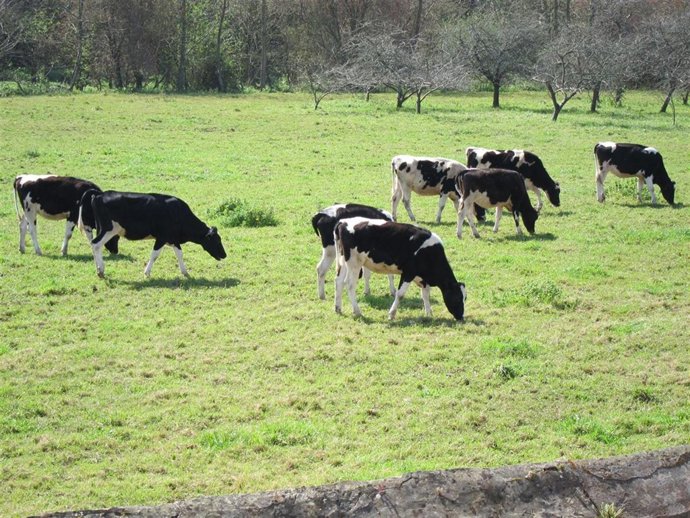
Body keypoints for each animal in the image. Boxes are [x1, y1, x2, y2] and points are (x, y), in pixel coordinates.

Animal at [79, 190, 226, 278]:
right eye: (217, 241)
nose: (225, 255)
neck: (178, 213)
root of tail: (100, 194)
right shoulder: (162, 237)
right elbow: (155, 255)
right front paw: (147, 273)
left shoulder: (173, 238)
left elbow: (179, 254)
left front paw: (185, 272)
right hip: (108, 229)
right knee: (96, 244)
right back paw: (101, 270)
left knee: (94, 245)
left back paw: (98, 269)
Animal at [334, 217, 466, 321]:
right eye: (458, 298)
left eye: (465, 298)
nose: (461, 317)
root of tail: (343, 222)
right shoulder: (409, 272)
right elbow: (400, 294)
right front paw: (391, 314)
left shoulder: (422, 278)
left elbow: (426, 294)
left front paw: (429, 313)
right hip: (354, 263)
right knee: (350, 285)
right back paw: (357, 311)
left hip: (343, 260)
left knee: (339, 282)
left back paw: (338, 308)